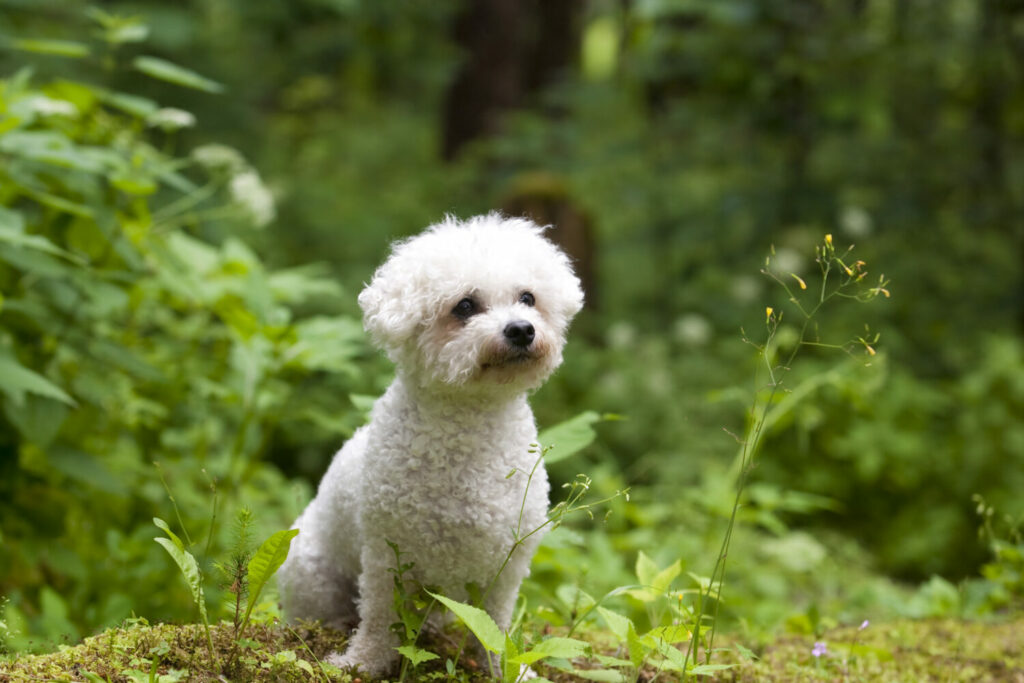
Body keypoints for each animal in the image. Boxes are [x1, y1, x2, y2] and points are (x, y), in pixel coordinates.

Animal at [278, 216, 585, 675]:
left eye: (528, 298)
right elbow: (379, 617)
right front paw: (362, 663)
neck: (470, 425)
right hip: (310, 571)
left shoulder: (506, 567)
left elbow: (494, 626)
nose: (521, 329)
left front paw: (507, 669)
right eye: (464, 306)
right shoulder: (386, 556)